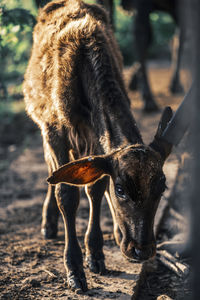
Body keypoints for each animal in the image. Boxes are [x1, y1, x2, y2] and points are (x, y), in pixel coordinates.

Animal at [23, 0, 173, 292]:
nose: (142, 250)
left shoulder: (97, 142)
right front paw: (75, 271)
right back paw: (49, 222)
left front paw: (96, 255)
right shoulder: (56, 131)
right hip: (43, 124)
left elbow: (96, 187)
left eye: (162, 187)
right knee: (50, 170)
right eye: (121, 189)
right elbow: (66, 193)